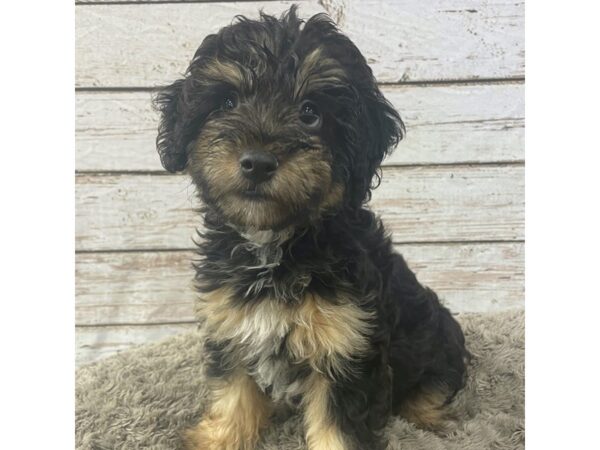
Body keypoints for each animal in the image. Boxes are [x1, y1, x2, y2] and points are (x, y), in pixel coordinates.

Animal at [154, 7, 468, 450]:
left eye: (310, 113)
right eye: (227, 102)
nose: (257, 162)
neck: (275, 244)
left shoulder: (348, 344)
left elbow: (338, 424)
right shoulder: (231, 324)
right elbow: (234, 392)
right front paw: (222, 437)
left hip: (438, 335)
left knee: (436, 382)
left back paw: (428, 416)